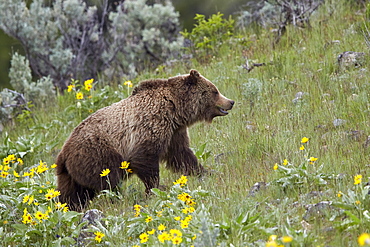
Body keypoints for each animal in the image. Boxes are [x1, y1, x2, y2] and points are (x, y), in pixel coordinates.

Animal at [55, 69, 234, 210]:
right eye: (215, 91)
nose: (231, 101)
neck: (175, 110)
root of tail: (63, 153)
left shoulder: (174, 132)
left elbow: (181, 156)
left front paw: (206, 172)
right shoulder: (149, 126)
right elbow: (146, 160)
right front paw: (155, 189)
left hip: (71, 174)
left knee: (72, 194)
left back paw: (69, 207)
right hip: (97, 154)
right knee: (109, 181)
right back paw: (117, 198)